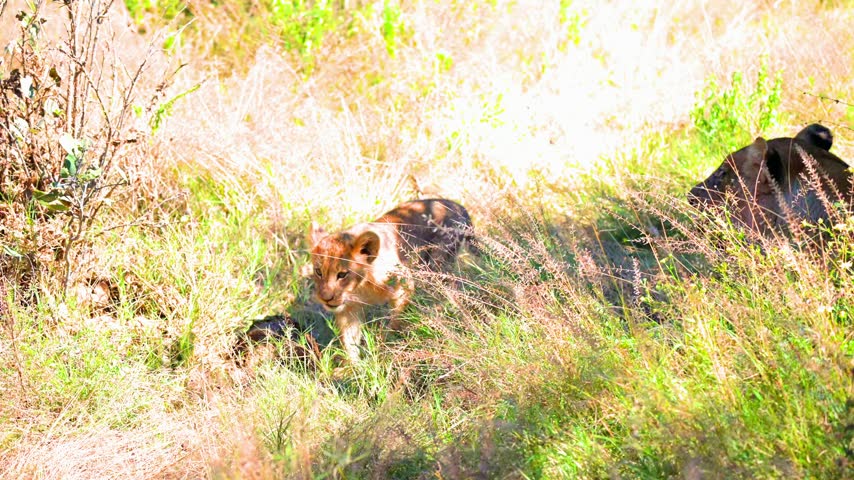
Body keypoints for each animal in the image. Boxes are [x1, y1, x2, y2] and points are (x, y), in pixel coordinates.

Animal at [308, 198, 474, 362]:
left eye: (343, 274)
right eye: (318, 272)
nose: (326, 299)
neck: (361, 287)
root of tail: (459, 206)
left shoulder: (405, 285)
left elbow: (394, 322)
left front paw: (384, 349)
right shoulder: (348, 309)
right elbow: (350, 342)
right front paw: (354, 367)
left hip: (438, 265)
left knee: (454, 290)